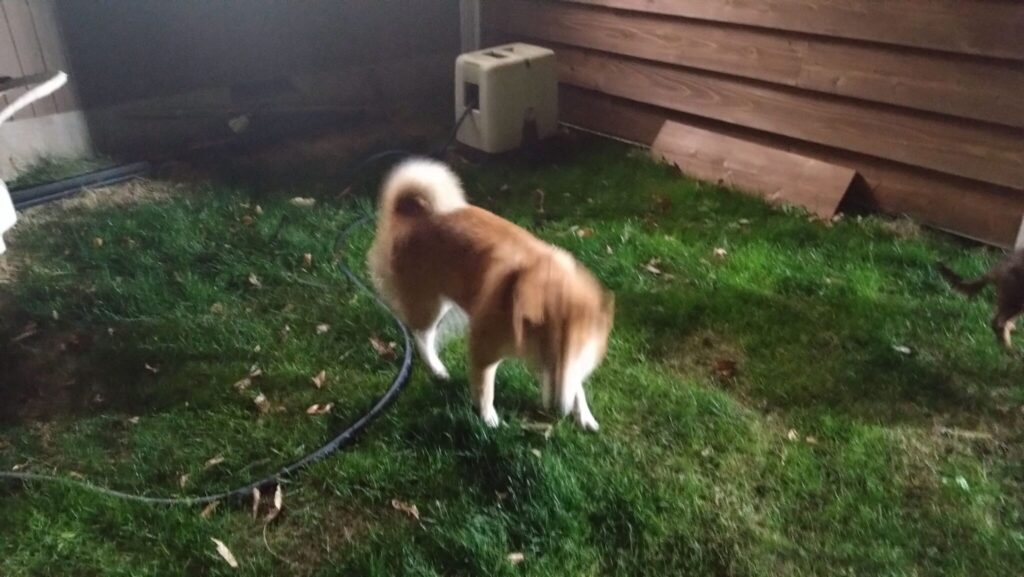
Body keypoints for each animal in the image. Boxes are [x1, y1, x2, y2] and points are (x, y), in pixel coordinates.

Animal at [367, 159, 614, 431]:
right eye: (545, 359)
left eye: (575, 357)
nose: (558, 410)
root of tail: (411, 214)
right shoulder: (483, 349)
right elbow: (486, 390)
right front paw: (488, 419)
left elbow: (576, 385)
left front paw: (584, 415)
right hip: (429, 304)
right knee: (421, 335)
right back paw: (437, 369)